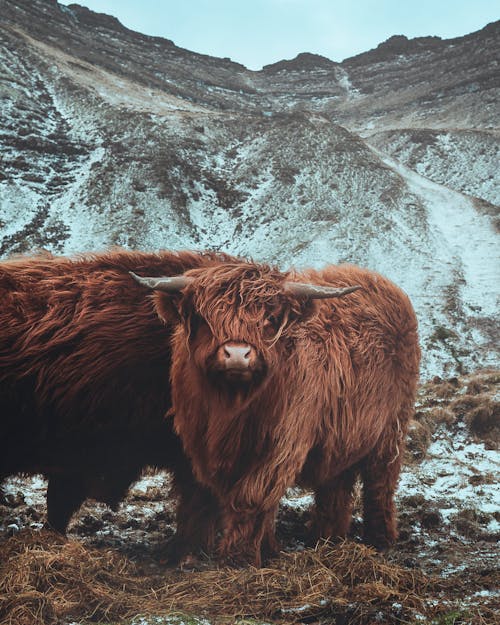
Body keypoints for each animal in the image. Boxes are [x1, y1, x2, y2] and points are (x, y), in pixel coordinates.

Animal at [134, 258, 422, 564]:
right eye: (203, 317)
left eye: (269, 319)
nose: (237, 354)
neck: (232, 407)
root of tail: (380, 282)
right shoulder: (200, 443)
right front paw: (267, 549)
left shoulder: (280, 445)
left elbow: (252, 497)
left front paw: (239, 557)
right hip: (343, 433)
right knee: (335, 484)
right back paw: (326, 538)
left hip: (392, 428)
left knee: (380, 482)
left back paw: (380, 539)